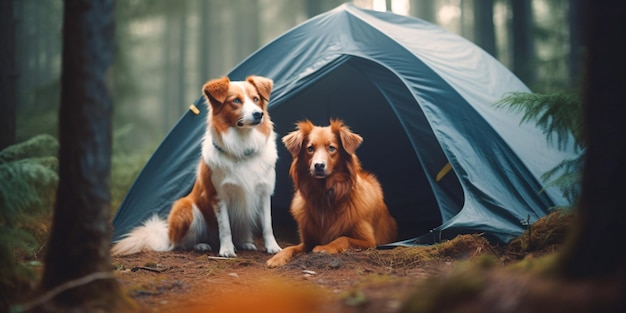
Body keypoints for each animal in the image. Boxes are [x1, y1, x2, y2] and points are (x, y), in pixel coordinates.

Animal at [111, 75, 280, 256]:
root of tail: (168, 237)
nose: (259, 114)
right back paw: (201, 245)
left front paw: (272, 247)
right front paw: (227, 250)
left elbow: (268, 224)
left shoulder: (264, 192)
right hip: (186, 207)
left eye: (256, 99)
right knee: (181, 243)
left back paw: (244, 243)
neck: (242, 146)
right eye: (236, 101)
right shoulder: (218, 195)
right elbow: (225, 227)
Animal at [264, 119, 394, 266]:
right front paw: (277, 258)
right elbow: (291, 247)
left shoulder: (369, 241)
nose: (319, 165)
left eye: (331, 148)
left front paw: (326, 247)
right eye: (310, 148)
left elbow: (343, 238)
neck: (323, 195)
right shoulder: (307, 242)